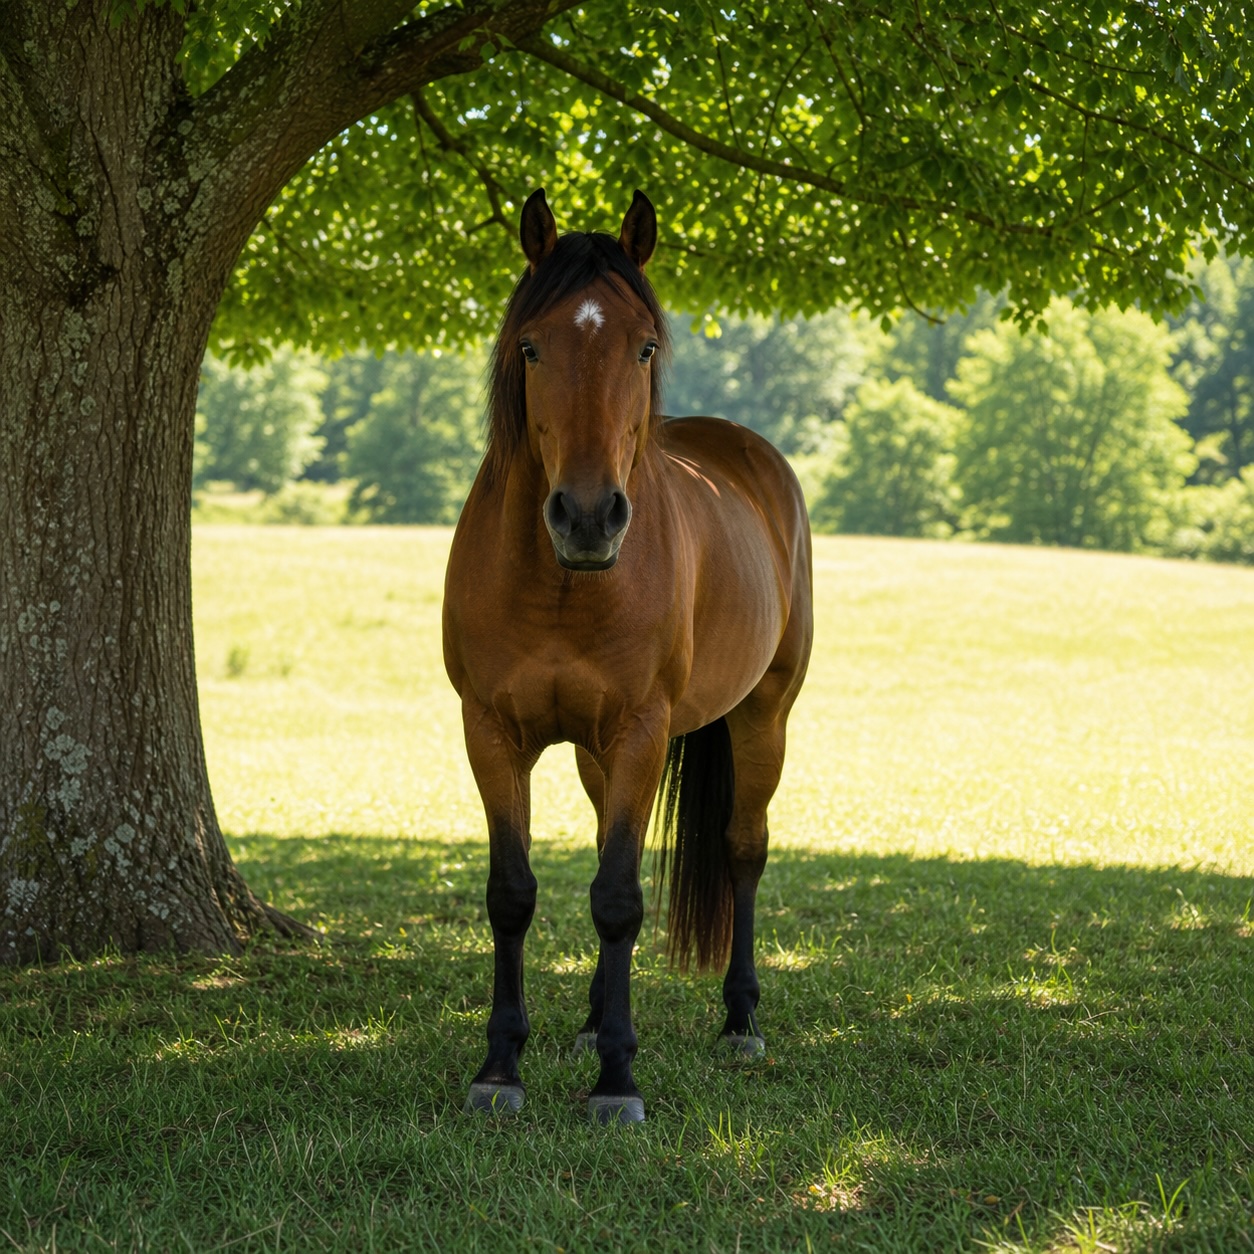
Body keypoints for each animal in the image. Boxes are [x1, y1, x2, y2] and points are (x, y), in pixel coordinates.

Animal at [442, 189, 813, 1124]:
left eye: (644, 345)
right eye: (532, 346)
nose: (586, 516)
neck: (562, 586)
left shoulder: (644, 732)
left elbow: (616, 899)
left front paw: (618, 1081)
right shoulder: (491, 734)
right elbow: (514, 894)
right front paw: (501, 1067)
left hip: (764, 716)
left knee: (744, 848)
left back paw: (740, 1022)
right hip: (594, 754)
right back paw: (588, 1021)